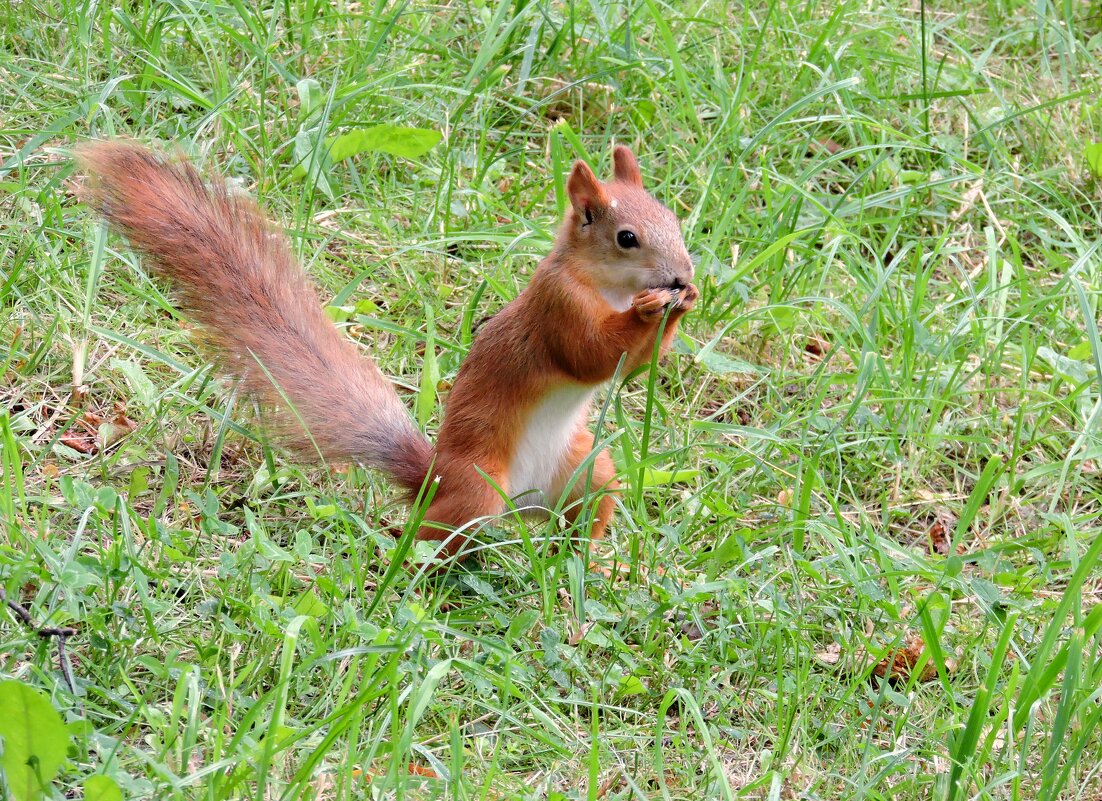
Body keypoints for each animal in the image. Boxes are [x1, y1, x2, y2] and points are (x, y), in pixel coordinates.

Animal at [78, 141, 698, 560]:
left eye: (673, 219)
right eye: (626, 238)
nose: (683, 274)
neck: (606, 286)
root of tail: (435, 480)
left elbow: (631, 368)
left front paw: (683, 305)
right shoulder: (557, 307)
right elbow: (589, 354)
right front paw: (650, 311)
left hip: (588, 471)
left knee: (582, 518)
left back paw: (595, 566)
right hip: (478, 490)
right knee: (435, 538)